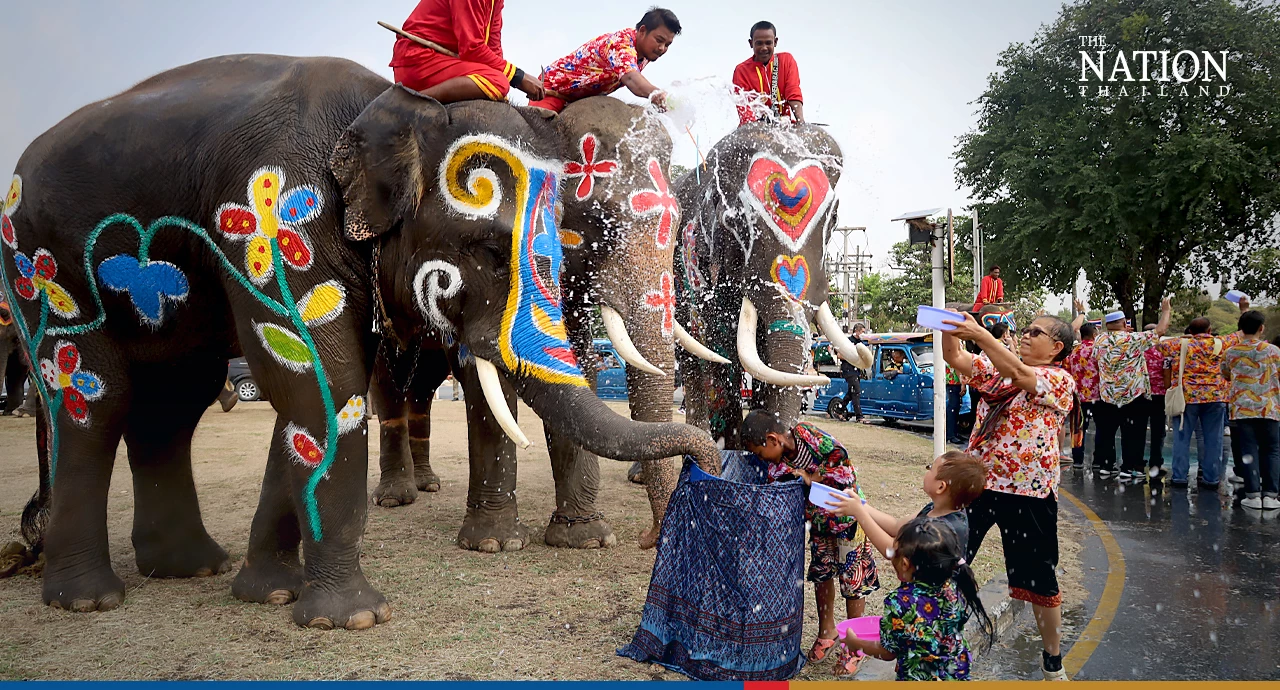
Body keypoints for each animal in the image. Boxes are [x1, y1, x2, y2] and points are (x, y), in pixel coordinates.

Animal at [367, 96, 726, 551]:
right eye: (597, 222)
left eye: (678, 223)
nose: (650, 538)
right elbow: (485, 374)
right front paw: (496, 544)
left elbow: (580, 364)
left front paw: (586, 538)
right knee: (391, 375)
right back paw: (396, 498)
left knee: (425, 382)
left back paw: (428, 483)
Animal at [673, 123, 870, 445]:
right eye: (735, 222)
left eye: (834, 219)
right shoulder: (703, 269)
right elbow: (724, 351)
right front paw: (730, 447)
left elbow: (767, 361)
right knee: (691, 358)